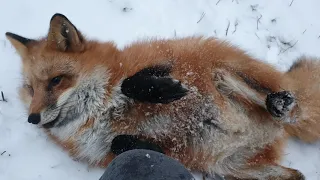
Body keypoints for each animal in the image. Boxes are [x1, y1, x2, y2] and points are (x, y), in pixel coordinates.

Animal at [5, 13, 320, 179]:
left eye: (56, 81)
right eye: (31, 89)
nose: (33, 119)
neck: (100, 110)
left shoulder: (165, 62)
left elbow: (131, 83)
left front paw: (165, 90)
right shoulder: (103, 150)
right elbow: (123, 143)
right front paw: (150, 147)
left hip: (221, 73)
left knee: (285, 105)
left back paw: (279, 103)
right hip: (226, 167)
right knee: (297, 175)